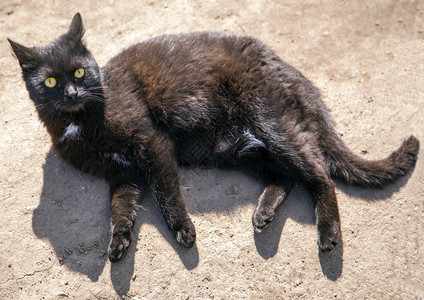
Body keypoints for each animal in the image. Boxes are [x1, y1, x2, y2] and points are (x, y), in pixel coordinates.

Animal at [8, 13, 420, 262]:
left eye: (79, 72)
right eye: (50, 81)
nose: (72, 93)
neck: (80, 121)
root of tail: (289, 68)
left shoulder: (153, 144)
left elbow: (166, 194)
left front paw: (183, 232)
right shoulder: (121, 173)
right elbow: (120, 207)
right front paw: (119, 241)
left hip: (271, 123)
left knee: (319, 173)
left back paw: (329, 234)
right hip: (242, 150)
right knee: (287, 176)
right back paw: (264, 214)